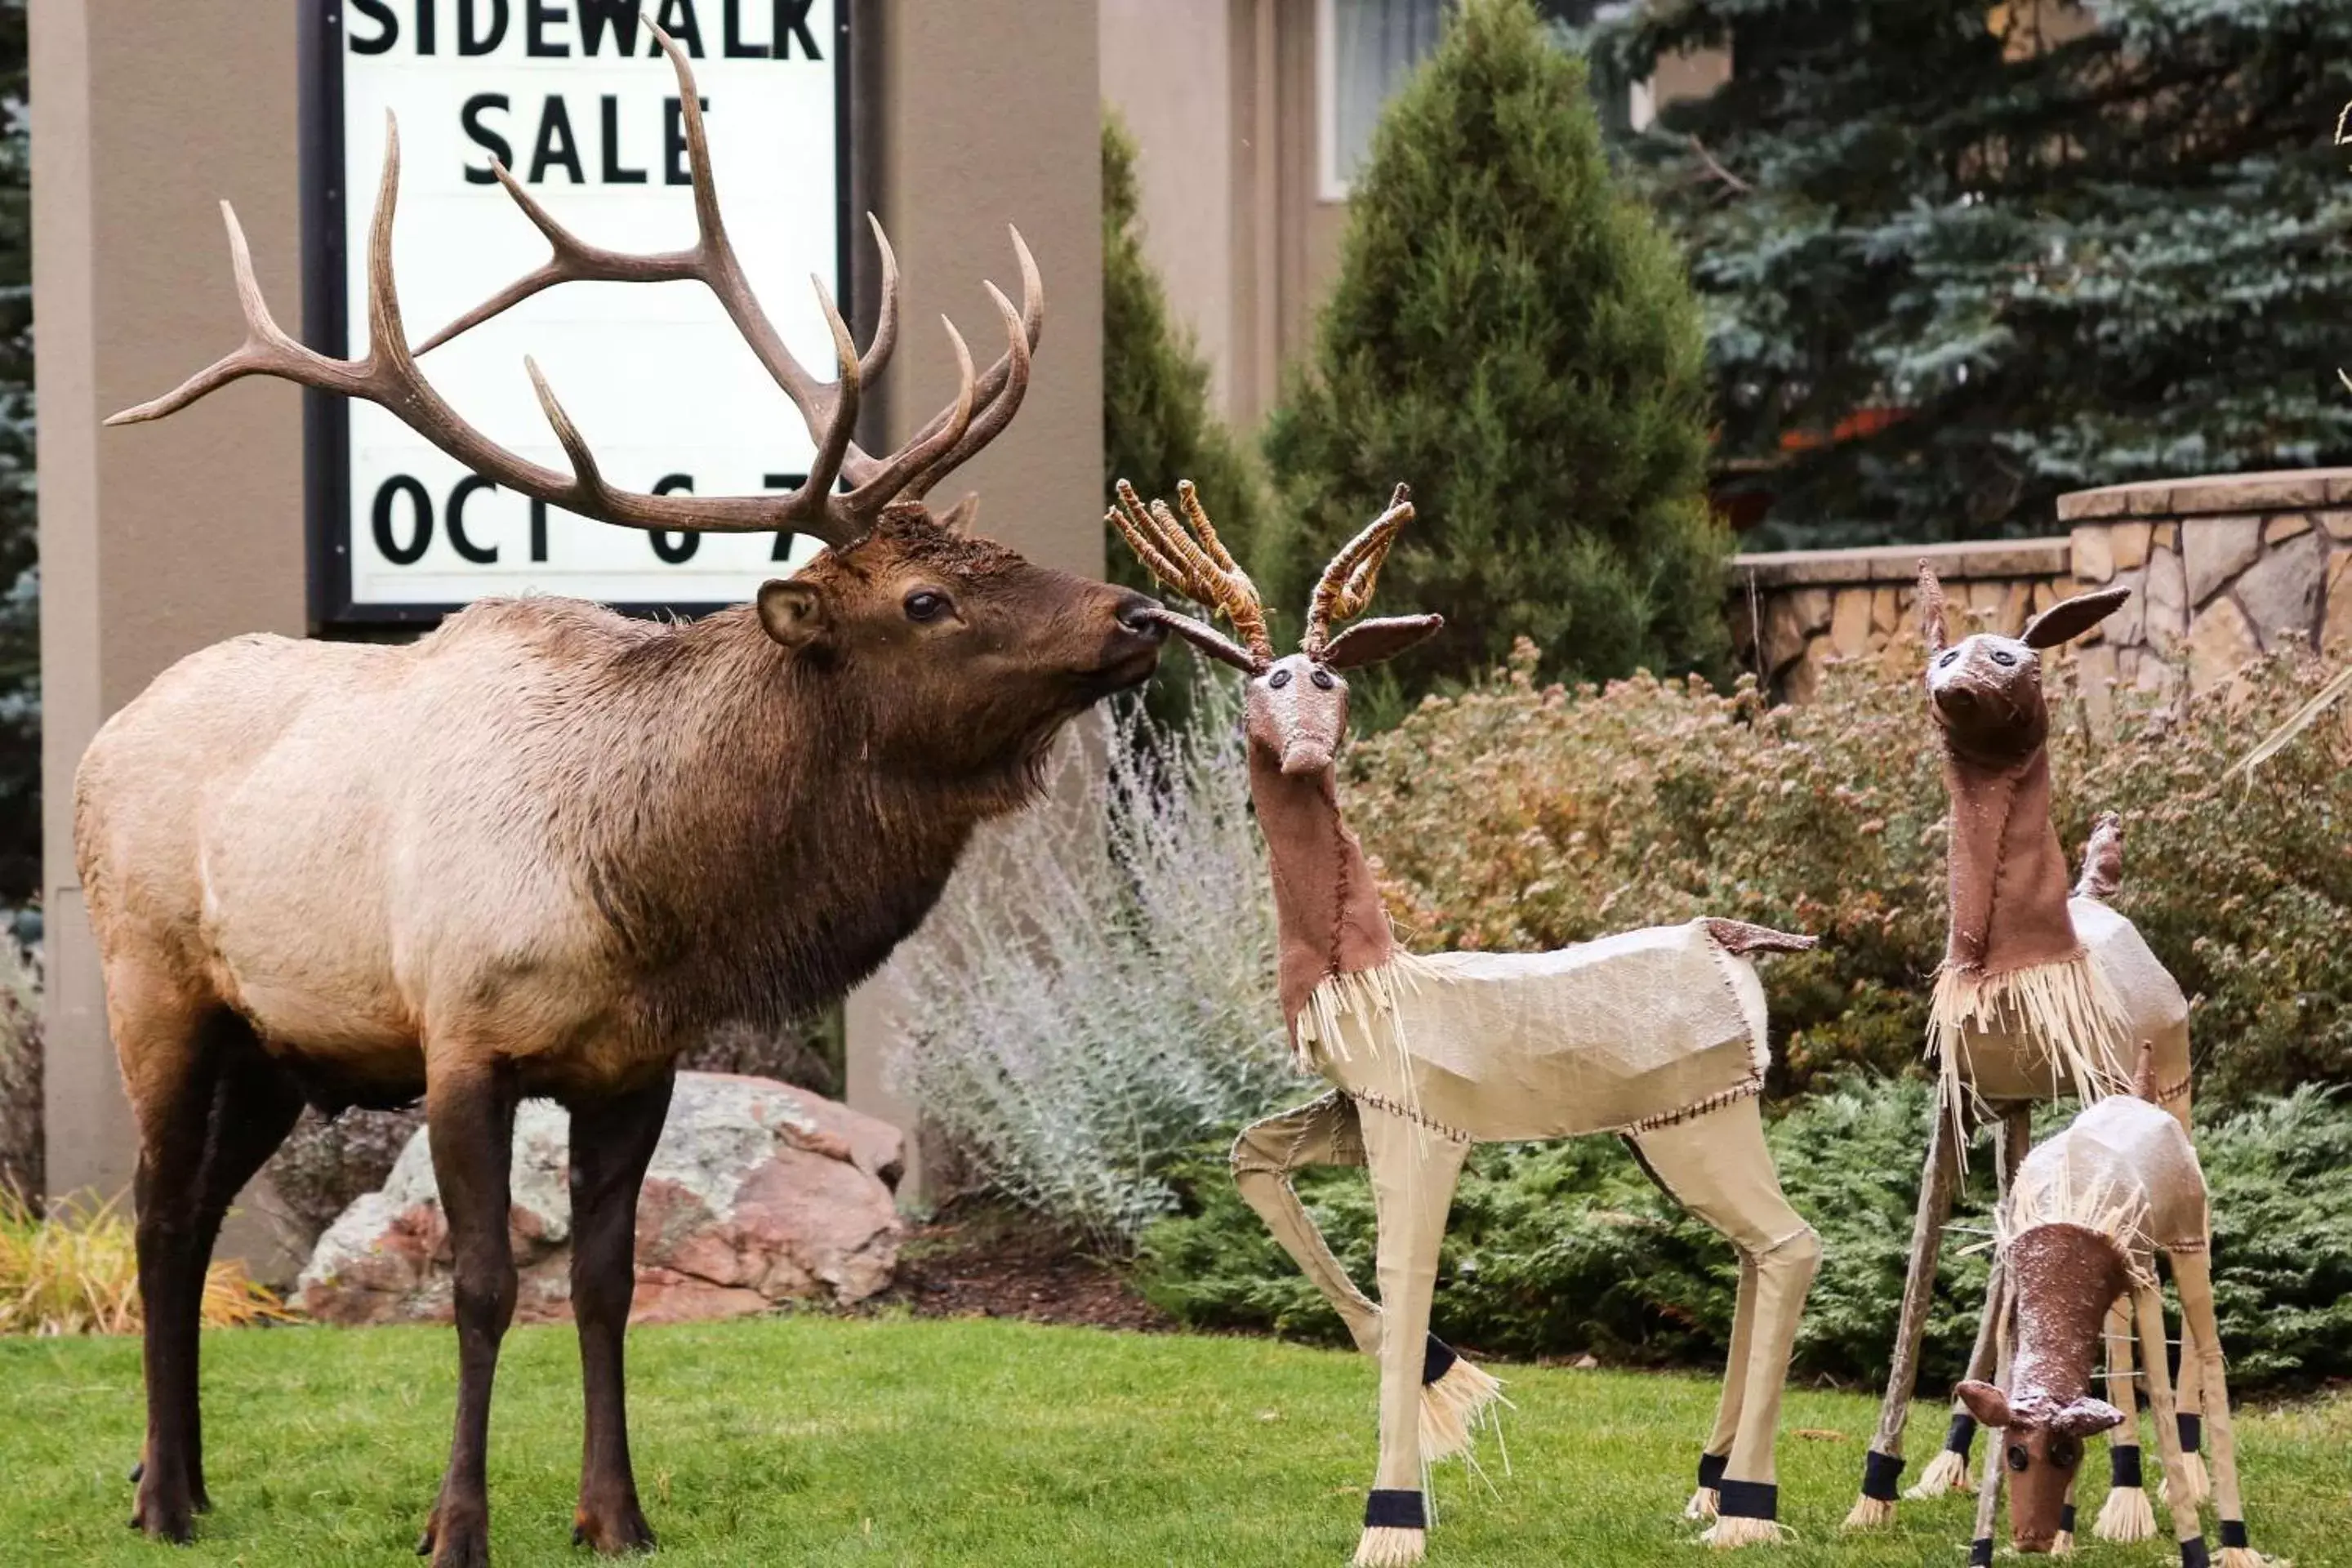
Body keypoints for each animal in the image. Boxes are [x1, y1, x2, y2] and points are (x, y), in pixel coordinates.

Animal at [85, 27, 1166, 1568]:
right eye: (926, 596)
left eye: (1001, 546)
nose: (1137, 613)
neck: (640, 895)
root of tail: (100, 738)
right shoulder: (460, 1038)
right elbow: (483, 1286)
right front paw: (457, 1527)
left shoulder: (634, 1063)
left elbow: (604, 1282)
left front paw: (616, 1514)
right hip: (157, 989)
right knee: (162, 1217)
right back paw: (168, 1495)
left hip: (280, 1050)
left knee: (194, 1212)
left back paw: (169, 1479)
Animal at [1110, 483, 1824, 1561]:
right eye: (1265, 681)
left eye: (1328, 677)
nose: (1309, 749)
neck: (1372, 972)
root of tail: (1731, 937)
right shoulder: (1355, 1110)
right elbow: (1251, 1162)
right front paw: (1446, 1382)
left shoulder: (1421, 1127)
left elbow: (1407, 1270)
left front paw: (1393, 1517)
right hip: (1666, 1133)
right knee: (1752, 1254)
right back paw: (1705, 1489)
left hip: (1703, 1123)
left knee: (1791, 1247)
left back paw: (1745, 1509)